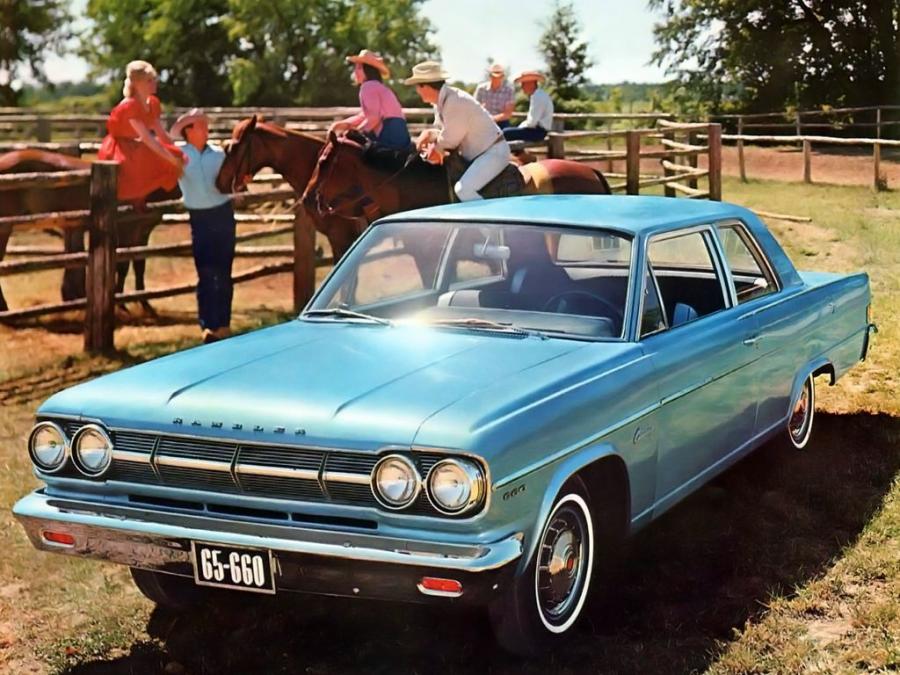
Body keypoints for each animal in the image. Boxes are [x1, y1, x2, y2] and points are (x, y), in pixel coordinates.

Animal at [0, 149, 172, 312]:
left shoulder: (143, 233)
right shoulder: (127, 230)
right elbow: (123, 266)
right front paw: (122, 304)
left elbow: (139, 266)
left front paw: (145, 304)